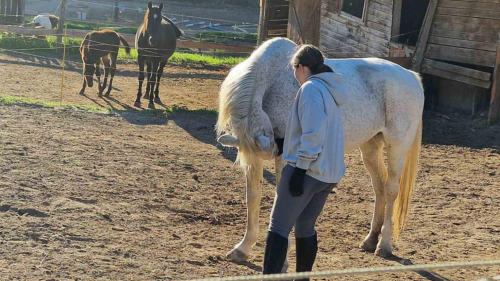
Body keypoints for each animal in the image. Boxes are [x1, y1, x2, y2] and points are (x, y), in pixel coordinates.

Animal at [217, 37, 424, 260]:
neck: (272, 83)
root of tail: (411, 76)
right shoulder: (254, 158)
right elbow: (253, 198)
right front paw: (243, 248)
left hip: (397, 148)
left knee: (391, 190)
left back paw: (384, 245)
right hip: (370, 147)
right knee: (380, 187)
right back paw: (370, 240)